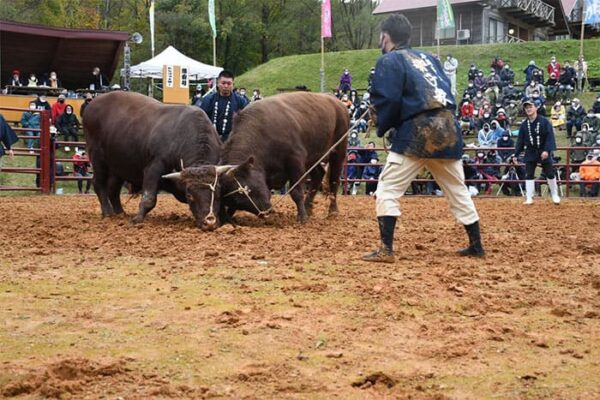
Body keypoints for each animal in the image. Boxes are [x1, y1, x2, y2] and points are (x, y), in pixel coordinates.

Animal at [84, 91, 223, 228]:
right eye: (190, 195)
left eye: (217, 192)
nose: (209, 222)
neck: (181, 136)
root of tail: (92, 104)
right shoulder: (154, 168)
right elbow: (149, 198)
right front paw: (137, 219)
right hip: (97, 158)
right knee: (98, 183)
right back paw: (107, 213)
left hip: (118, 167)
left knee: (113, 189)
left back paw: (120, 213)